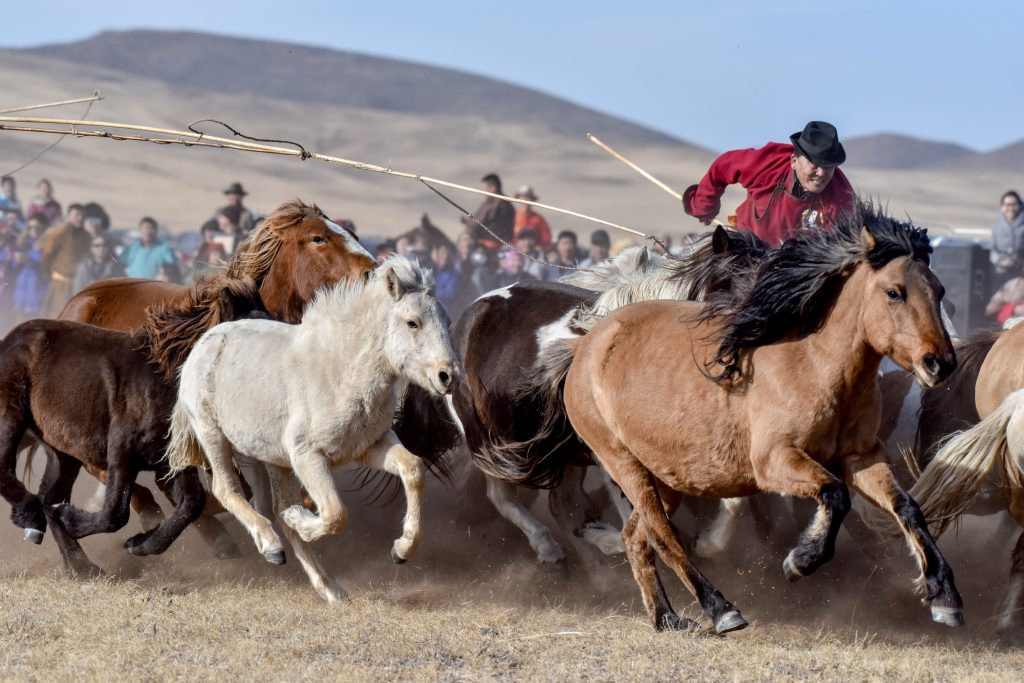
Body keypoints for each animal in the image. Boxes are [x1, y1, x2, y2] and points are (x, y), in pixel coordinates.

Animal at [167, 258, 456, 602]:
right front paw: (300, 518)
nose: (447, 376)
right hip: (213, 436)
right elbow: (334, 513)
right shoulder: (308, 456)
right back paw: (271, 545)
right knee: (228, 490)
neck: (340, 372)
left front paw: (401, 549)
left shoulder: (369, 446)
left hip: (273, 461)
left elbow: (412, 469)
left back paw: (329, 588)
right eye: (413, 322)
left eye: (447, 321)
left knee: (274, 507)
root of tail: (204, 343)